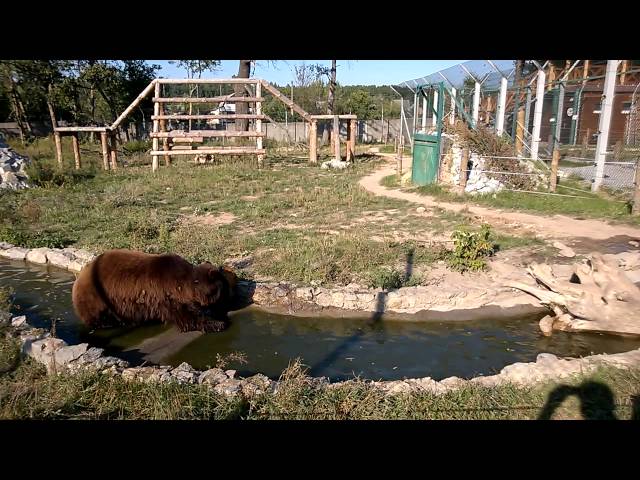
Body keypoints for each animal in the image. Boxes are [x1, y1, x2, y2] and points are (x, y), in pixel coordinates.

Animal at [72, 249, 238, 332]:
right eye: (227, 289)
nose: (233, 297)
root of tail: (79, 277)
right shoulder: (166, 294)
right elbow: (187, 317)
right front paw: (218, 323)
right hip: (97, 296)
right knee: (100, 316)